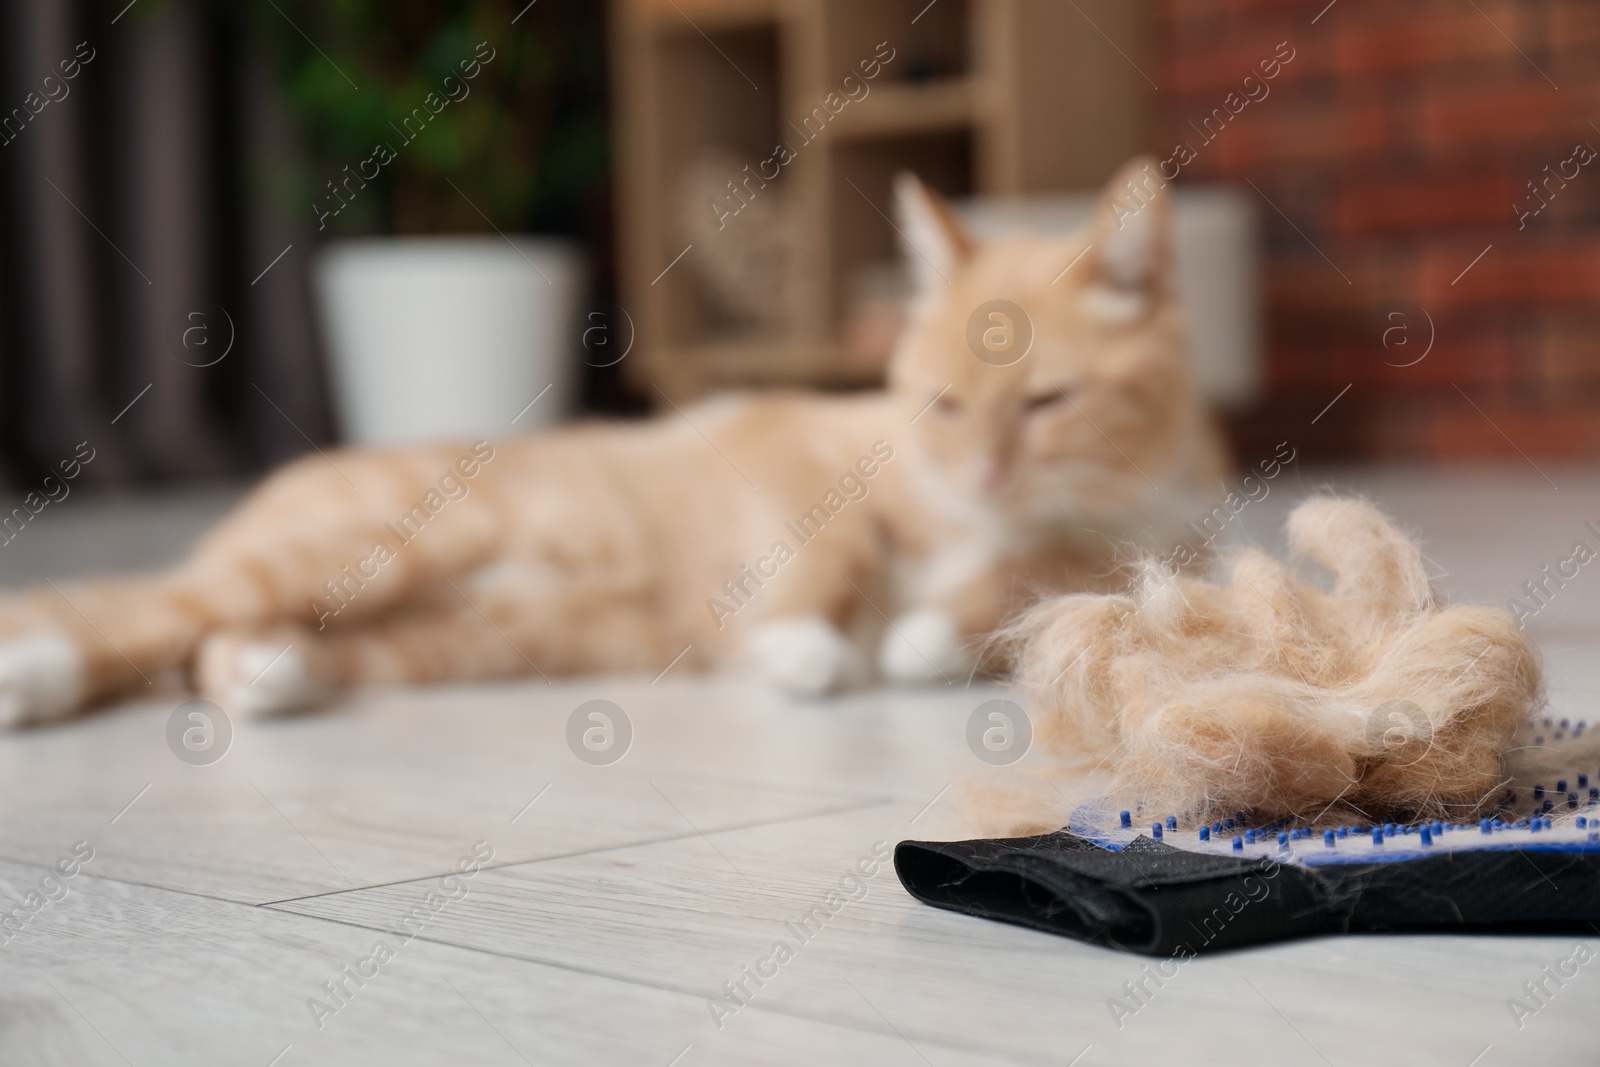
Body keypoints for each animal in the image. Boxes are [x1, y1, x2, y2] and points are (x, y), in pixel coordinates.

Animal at [0, 158, 1228, 726]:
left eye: (1047, 401)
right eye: (941, 405)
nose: (980, 473)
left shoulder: (1107, 562)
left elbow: (1009, 597)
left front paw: (928, 633)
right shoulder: (798, 470)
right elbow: (828, 561)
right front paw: (811, 645)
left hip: (449, 637)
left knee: (211, 649)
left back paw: (268, 671)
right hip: (364, 550)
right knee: (149, 613)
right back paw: (35, 674)